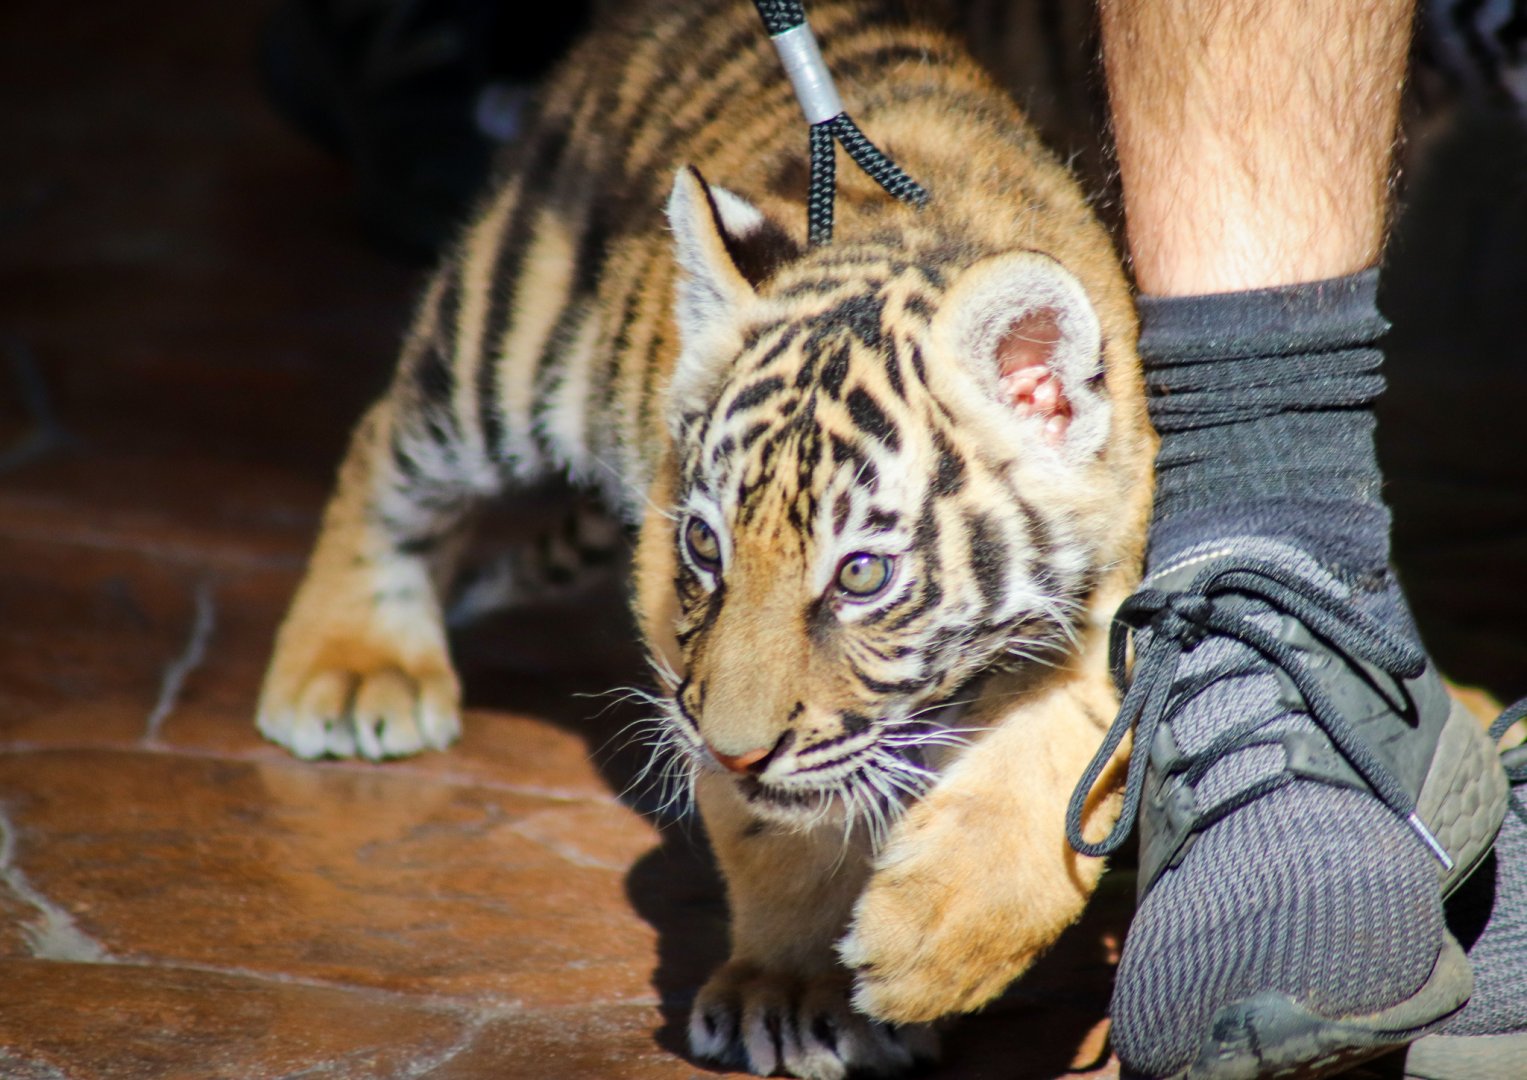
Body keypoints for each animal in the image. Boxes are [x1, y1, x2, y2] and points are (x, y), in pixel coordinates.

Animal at [255, 0, 1154, 1076]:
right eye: (706, 548)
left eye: (861, 576)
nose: (734, 754)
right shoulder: (679, 631)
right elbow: (784, 828)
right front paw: (798, 988)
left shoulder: (1124, 590)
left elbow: (1061, 752)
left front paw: (931, 947)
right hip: (506, 343)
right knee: (387, 446)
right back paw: (352, 670)